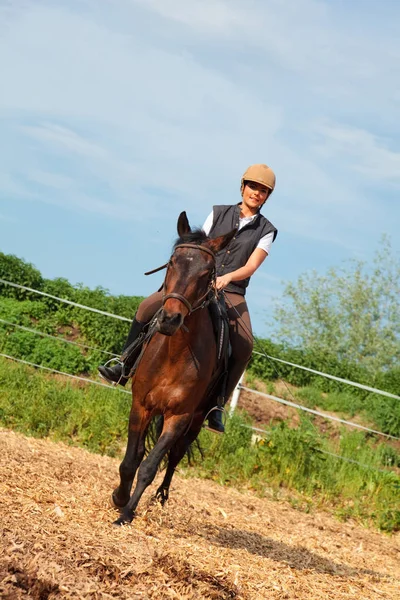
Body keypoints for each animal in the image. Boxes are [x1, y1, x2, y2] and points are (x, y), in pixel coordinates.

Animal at [111, 212, 236, 524]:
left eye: (207, 273)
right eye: (171, 263)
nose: (170, 319)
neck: (174, 353)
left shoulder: (179, 417)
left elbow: (149, 465)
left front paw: (126, 513)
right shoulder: (141, 404)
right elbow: (131, 460)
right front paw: (119, 498)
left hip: (197, 419)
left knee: (176, 455)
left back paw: (162, 496)